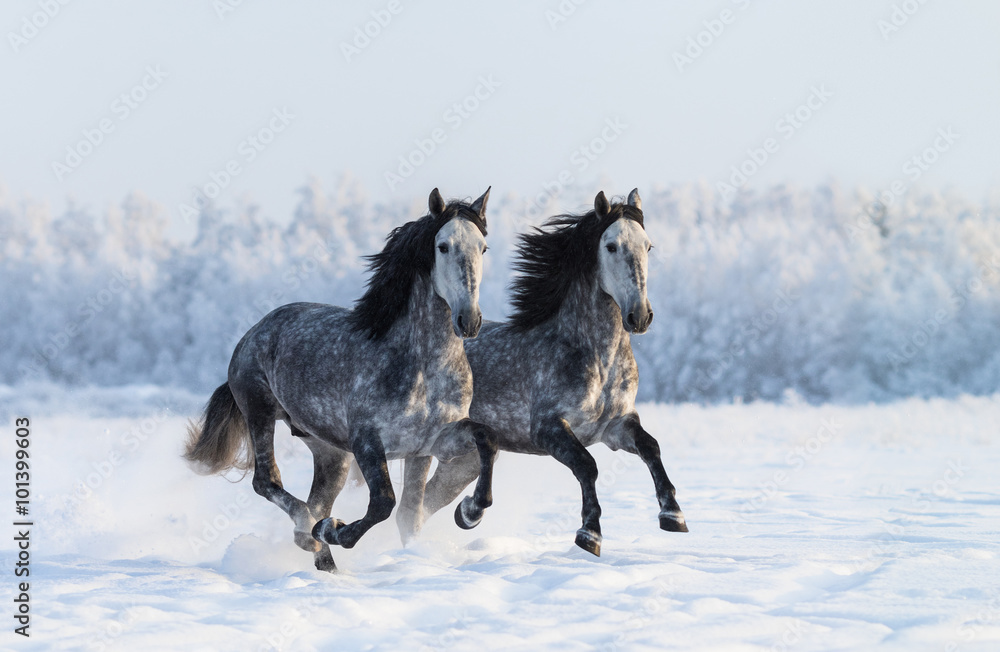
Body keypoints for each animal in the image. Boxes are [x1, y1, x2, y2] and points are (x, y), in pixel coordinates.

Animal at [184, 187, 500, 572]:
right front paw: (331, 530)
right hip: (260, 413)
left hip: (331, 452)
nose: (469, 320)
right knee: (268, 482)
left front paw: (469, 513)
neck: (424, 368)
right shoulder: (367, 440)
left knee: (317, 499)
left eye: (483, 248)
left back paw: (325, 560)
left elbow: (479, 445)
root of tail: (254, 331)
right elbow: (383, 503)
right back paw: (311, 530)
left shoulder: (430, 443)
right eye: (443, 246)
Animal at [397, 189, 688, 556]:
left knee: (427, 502)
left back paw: (464, 514)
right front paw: (589, 534)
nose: (640, 316)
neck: (596, 358)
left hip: (461, 460)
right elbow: (587, 465)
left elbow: (651, 447)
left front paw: (673, 515)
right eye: (611, 246)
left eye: (647, 246)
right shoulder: (548, 429)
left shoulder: (616, 426)